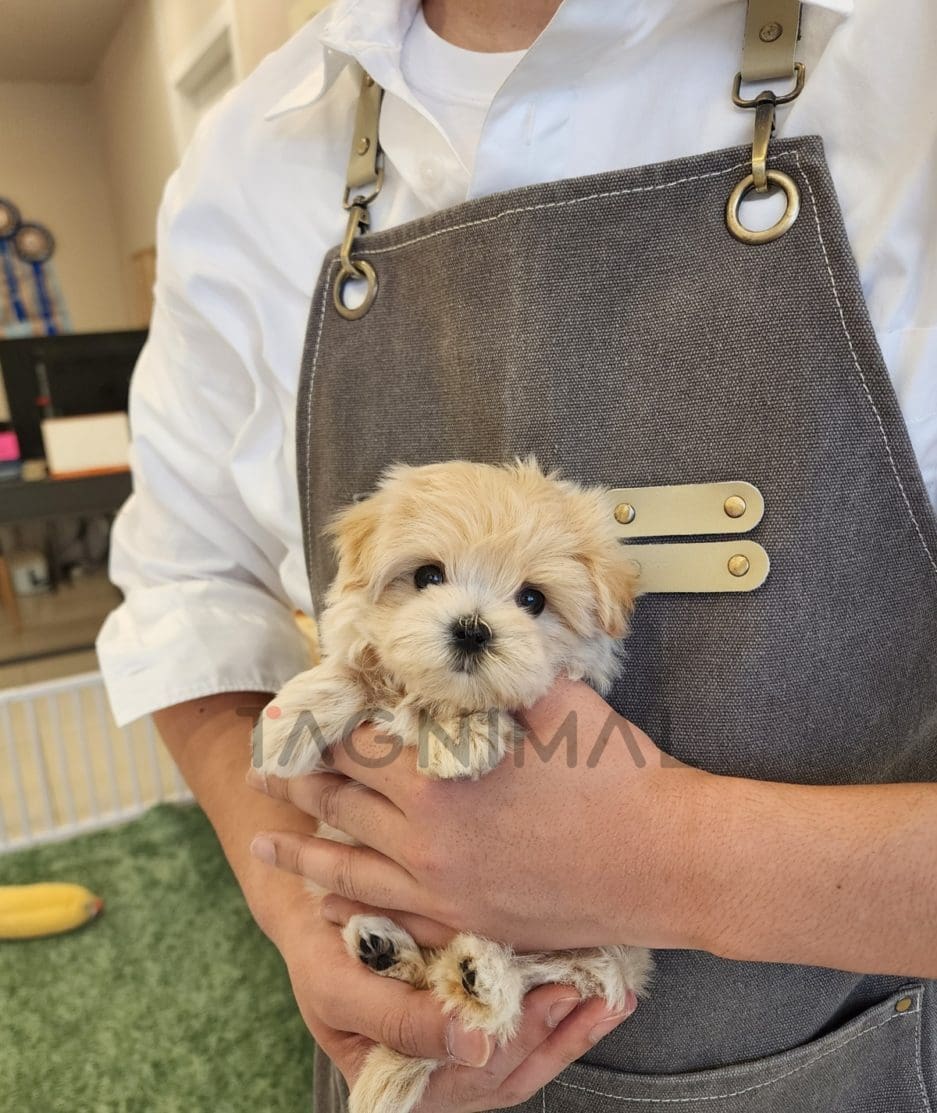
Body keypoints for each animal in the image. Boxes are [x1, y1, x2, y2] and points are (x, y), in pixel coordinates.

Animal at [255, 458, 649, 1113]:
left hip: (604, 951)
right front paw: (292, 720)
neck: (433, 693)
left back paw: (478, 978)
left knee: (533, 982)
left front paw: (461, 733)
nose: (472, 628)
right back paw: (384, 949)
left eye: (533, 599)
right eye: (428, 575)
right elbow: (356, 669)